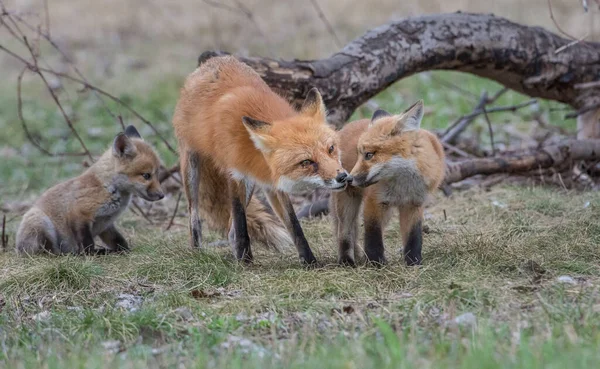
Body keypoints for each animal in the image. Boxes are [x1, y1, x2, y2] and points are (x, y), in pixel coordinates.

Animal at [17, 125, 166, 254]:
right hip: (40, 222)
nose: (162, 195)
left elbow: (119, 241)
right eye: (146, 176)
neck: (108, 188)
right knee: (50, 252)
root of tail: (18, 250)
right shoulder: (80, 214)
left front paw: (125, 251)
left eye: (157, 174)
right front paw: (91, 255)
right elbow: (87, 244)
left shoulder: (106, 224)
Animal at [171, 54, 350, 264]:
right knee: (195, 218)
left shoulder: (273, 183)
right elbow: (241, 223)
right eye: (306, 162)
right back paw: (199, 252)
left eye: (331, 149)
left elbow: (294, 225)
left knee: (230, 229)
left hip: (251, 185)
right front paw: (244, 261)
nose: (342, 177)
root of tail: (213, 61)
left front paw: (309, 261)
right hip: (191, 168)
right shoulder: (235, 174)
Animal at [330, 101, 442, 264]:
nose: (348, 178)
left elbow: (413, 238)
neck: (402, 185)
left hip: (387, 212)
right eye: (359, 155)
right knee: (344, 233)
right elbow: (373, 236)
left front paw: (413, 263)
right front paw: (376, 262)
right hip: (347, 205)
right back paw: (346, 261)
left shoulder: (414, 204)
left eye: (369, 155)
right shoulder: (374, 202)